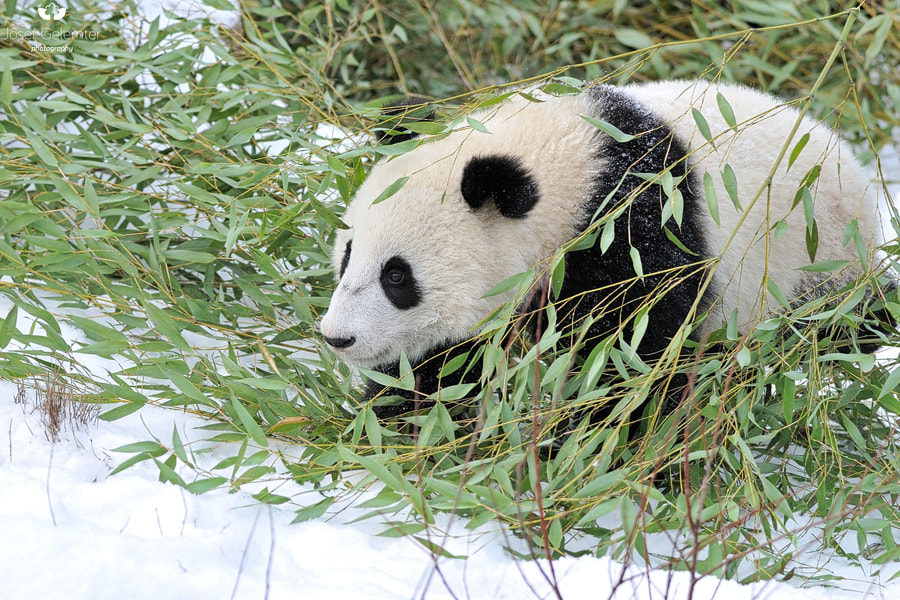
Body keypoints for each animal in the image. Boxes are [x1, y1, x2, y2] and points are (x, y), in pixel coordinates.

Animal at [320, 80, 885, 419]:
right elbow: (446, 365)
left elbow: (632, 358)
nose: (337, 339)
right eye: (347, 255)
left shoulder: (636, 230)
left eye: (397, 276)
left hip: (813, 267)